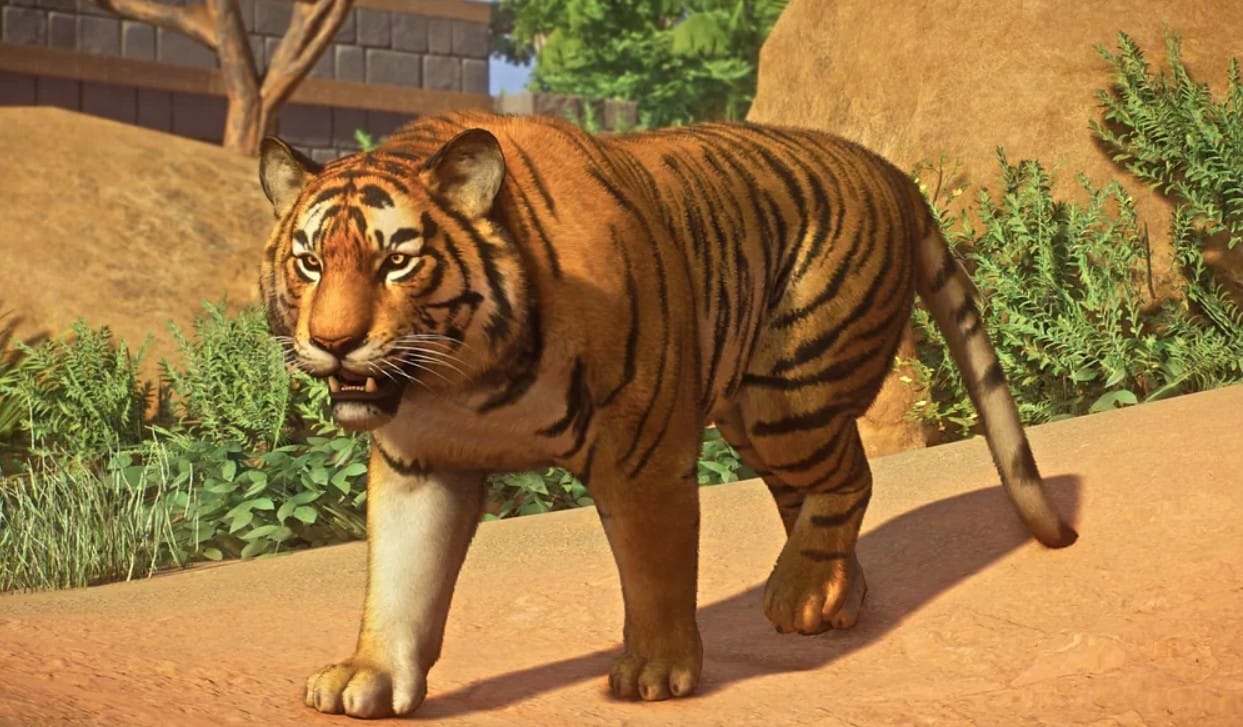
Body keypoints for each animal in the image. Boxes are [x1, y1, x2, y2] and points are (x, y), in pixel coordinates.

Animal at [258, 110, 1077, 719]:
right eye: (309, 262)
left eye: (397, 260)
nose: (334, 343)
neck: (459, 378)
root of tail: (893, 173)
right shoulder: (418, 464)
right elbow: (400, 580)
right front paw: (367, 675)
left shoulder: (641, 450)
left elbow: (654, 568)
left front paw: (655, 670)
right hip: (755, 413)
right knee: (814, 496)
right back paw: (834, 597)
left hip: (790, 394)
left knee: (849, 478)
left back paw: (799, 594)